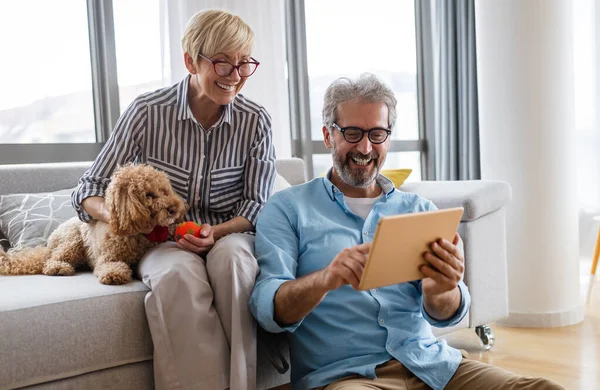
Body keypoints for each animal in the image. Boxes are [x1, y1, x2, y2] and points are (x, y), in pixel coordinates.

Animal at [0, 163, 186, 284]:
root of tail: (49, 244)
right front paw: (113, 274)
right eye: (149, 195)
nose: (174, 208)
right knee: (51, 260)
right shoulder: (107, 257)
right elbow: (109, 265)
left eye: (164, 191)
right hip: (72, 241)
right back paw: (58, 268)